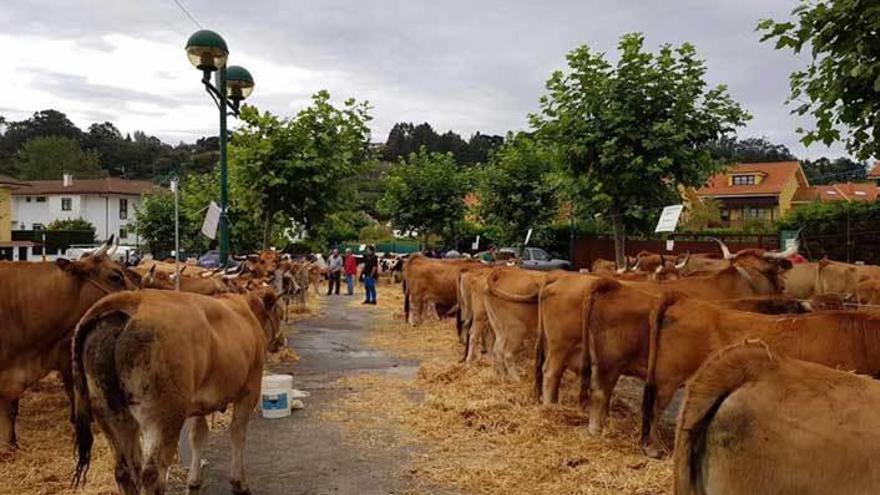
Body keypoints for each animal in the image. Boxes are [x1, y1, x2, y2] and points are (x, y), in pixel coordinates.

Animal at [74, 288, 286, 494]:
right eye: (280, 313)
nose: (281, 341)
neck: (247, 313)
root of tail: (135, 299)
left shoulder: (199, 402)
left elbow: (198, 436)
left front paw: (194, 482)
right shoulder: (250, 388)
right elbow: (237, 432)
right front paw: (239, 483)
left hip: (109, 414)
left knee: (124, 469)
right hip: (164, 416)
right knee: (152, 475)